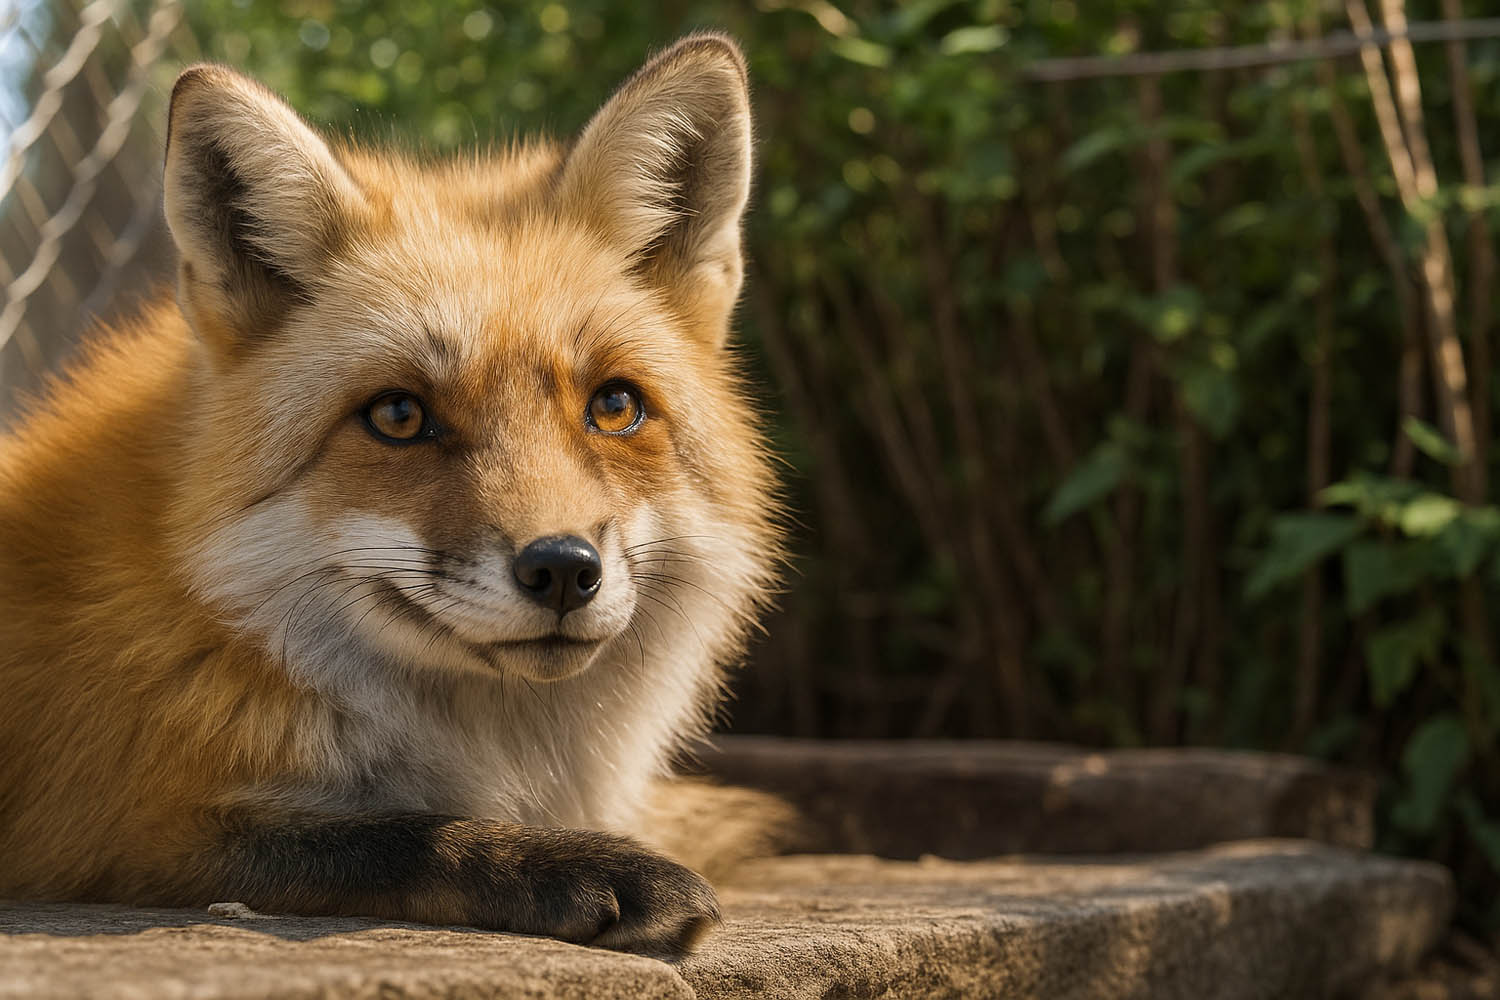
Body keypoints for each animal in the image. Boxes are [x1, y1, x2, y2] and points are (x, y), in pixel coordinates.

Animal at [0, 35, 784, 953]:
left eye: (615, 406)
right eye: (400, 416)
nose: (564, 569)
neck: (218, 617)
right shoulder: (113, 827)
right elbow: (396, 838)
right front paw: (572, 865)